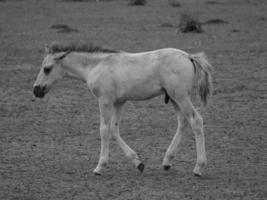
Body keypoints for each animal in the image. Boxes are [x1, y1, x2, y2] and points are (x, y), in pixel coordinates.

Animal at [33, 41, 214, 176]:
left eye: (47, 68)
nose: (36, 90)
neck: (96, 65)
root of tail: (188, 56)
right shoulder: (119, 102)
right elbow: (114, 130)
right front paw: (138, 163)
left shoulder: (105, 100)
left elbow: (104, 130)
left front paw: (100, 166)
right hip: (174, 98)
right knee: (183, 122)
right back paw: (167, 161)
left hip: (180, 96)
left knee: (196, 121)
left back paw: (198, 167)